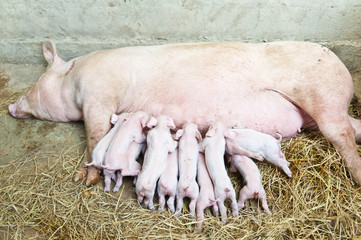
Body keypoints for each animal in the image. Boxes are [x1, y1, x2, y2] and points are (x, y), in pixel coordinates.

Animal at [7, 42, 360, 187]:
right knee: (353, 126)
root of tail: (341, 67)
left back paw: (357, 177)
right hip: (316, 113)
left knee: (342, 134)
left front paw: (83, 178)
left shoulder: (99, 94)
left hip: (322, 95)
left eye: (35, 85)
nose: (10, 106)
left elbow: (95, 133)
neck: (73, 79)